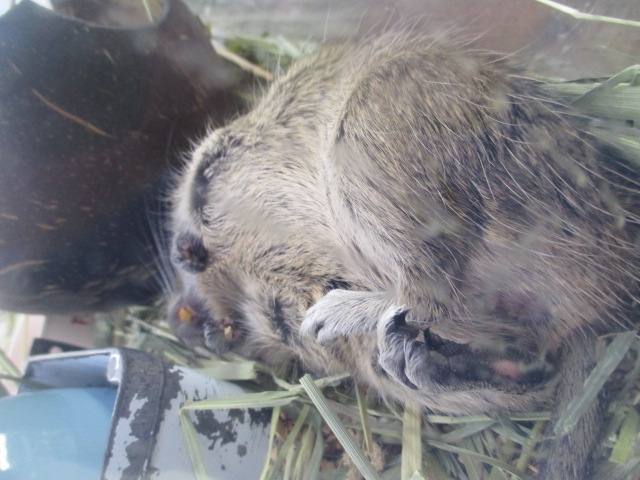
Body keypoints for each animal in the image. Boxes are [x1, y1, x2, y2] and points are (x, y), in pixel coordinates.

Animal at [167, 31, 639, 478]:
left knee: (433, 295)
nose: (178, 321)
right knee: (526, 365)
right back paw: (418, 356)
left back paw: (338, 316)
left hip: (368, 137)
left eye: (205, 179)